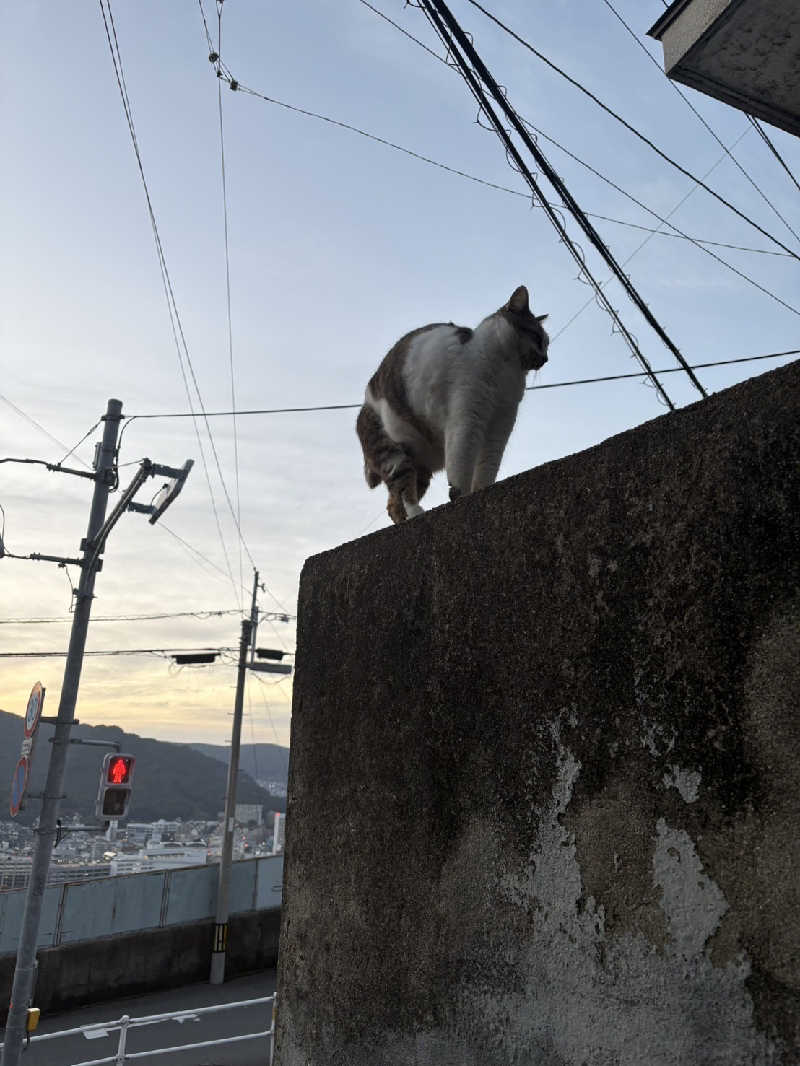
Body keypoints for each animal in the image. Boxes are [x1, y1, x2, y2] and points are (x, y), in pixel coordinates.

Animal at [358, 285, 550, 522]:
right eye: (537, 337)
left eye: (547, 343)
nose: (546, 358)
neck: (507, 370)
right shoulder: (467, 416)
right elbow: (462, 464)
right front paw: (462, 496)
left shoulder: (501, 422)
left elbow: (488, 465)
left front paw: (482, 490)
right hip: (392, 453)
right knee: (403, 488)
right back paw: (415, 514)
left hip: (421, 468)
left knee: (393, 503)